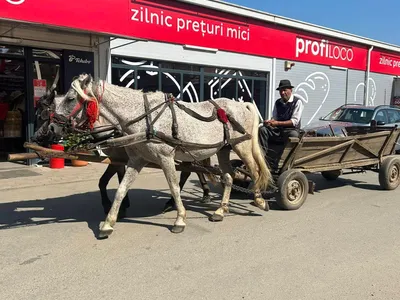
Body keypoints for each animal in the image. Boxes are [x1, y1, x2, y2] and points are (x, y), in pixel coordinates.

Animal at [32, 89, 212, 218]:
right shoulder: (117, 159)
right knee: (192, 170)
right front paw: (117, 204)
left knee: (190, 172)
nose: (35, 138)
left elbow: (112, 180)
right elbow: (106, 181)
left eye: (43, 116)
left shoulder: (120, 159)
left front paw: (117, 205)